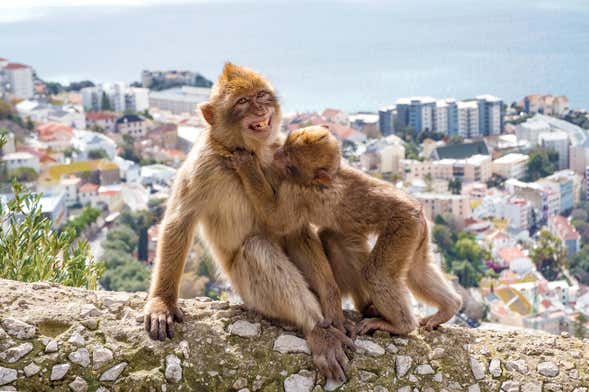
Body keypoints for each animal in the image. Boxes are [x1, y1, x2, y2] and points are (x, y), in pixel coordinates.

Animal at [143, 64, 356, 382]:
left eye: (260, 95)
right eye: (242, 102)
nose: (260, 108)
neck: (248, 151)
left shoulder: (285, 166)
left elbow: (293, 228)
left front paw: (333, 304)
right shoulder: (203, 165)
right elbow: (179, 223)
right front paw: (162, 302)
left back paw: (328, 317)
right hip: (247, 291)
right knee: (257, 248)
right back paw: (317, 329)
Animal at [227, 126, 462, 336]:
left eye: (290, 163)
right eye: (285, 147)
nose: (276, 154)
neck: (329, 176)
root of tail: (415, 209)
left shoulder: (296, 191)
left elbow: (276, 219)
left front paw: (247, 166)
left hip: (402, 228)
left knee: (376, 273)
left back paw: (401, 326)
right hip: (417, 232)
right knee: (417, 271)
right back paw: (449, 307)